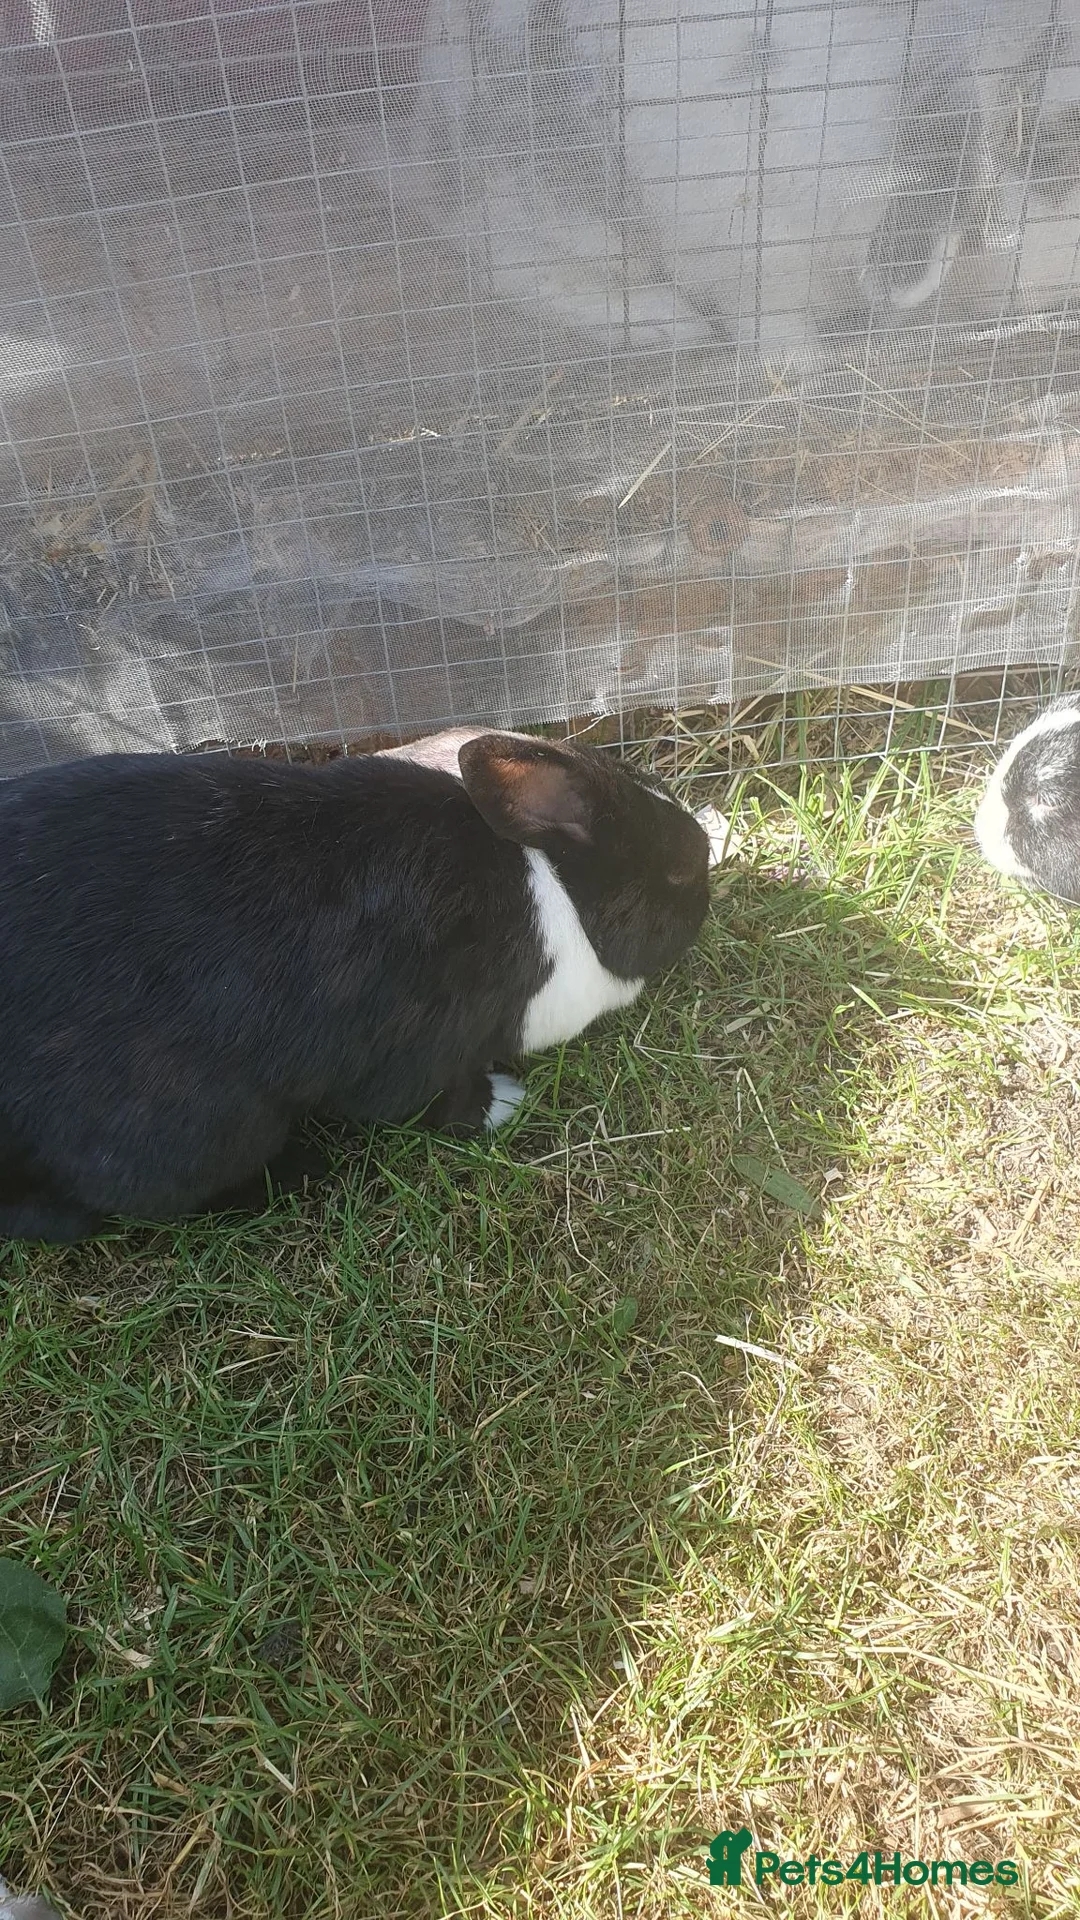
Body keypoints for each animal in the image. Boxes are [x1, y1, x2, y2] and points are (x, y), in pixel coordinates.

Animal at [0, 729, 710, 1243]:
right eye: (679, 874)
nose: (706, 899)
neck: (556, 893)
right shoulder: (418, 1051)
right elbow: (435, 1102)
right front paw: (502, 1104)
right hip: (197, 1125)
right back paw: (299, 1173)